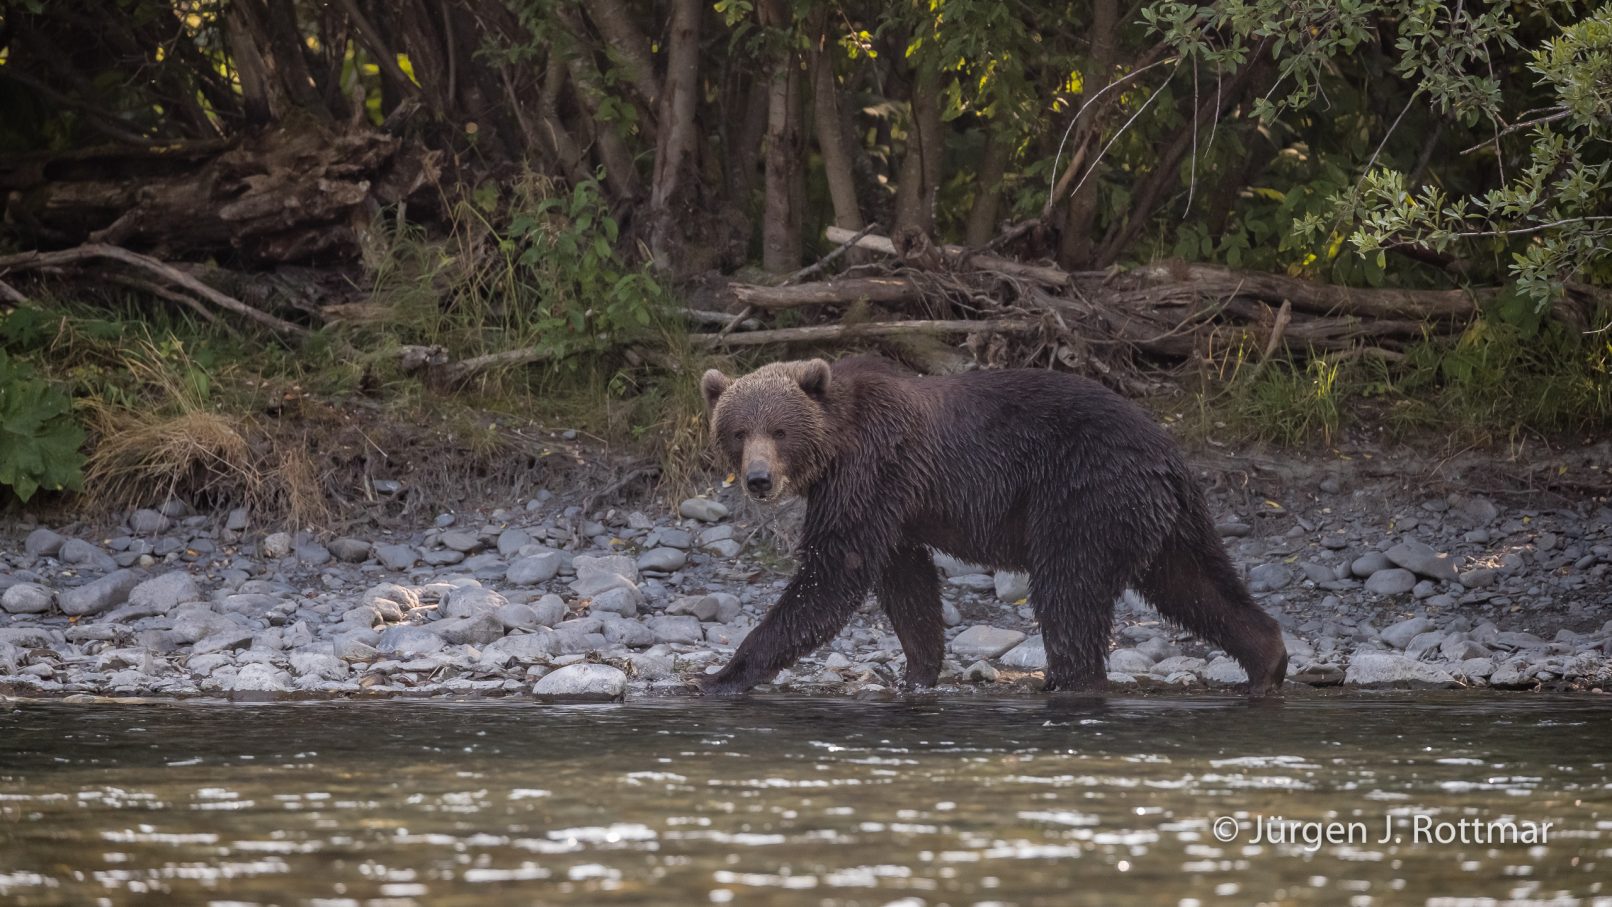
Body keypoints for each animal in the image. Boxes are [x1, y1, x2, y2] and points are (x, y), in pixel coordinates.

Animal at [698, 355, 1288, 696]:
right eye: (738, 431)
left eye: (779, 430)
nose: (757, 479)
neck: (838, 441)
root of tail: (1169, 453)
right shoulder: (894, 503)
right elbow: (906, 583)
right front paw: (919, 673)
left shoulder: (871, 468)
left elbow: (832, 574)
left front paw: (725, 674)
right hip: (1162, 520)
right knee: (1196, 583)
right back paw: (1268, 661)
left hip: (1083, 494)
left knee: (1069, 591)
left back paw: (1066, 683)